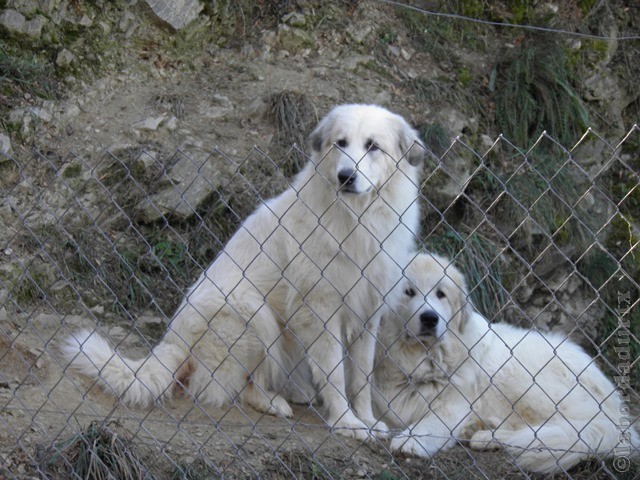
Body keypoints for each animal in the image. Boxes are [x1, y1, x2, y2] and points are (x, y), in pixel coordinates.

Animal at [63, 103, 424, 440]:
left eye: (372, 146)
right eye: (341, 143)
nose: (346, 176)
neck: (357, 217)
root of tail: (175, 342)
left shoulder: (368, 312)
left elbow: (361, 376)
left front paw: (366, 419)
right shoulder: (320, 311)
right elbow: (335, 374)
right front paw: (346, 423)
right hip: (253, 314)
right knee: (243, 386)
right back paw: (274, 401)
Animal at [372, 253, 636, 474]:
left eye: (440, 294)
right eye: (408, 292)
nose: (429, 318)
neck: (420, 360)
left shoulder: (453, 405)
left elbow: (431, 421)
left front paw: (411, 440)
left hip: (517, 376)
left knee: (555, 430)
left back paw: (485, 436)